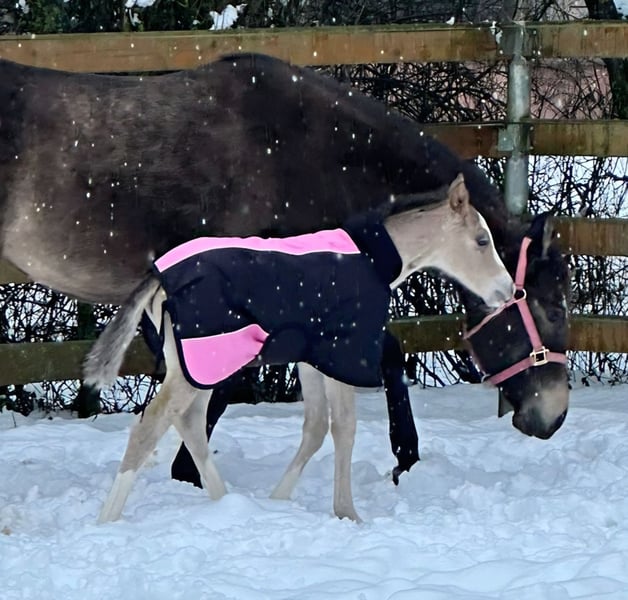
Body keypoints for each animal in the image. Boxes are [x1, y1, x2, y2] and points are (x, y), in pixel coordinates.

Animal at [84, 174, 514, 522]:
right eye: (482, 240)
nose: (508, 291)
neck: (374, 260)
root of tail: (159, 276)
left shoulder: (312, 359)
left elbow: (316, 427)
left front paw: (278, 500)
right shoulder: (346, 352)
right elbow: (344, 427)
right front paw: (348, 514)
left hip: (200, 364)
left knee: (188, 422)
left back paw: (230, 503)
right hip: (205, 359)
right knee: (151, 426)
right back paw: (107, 520)